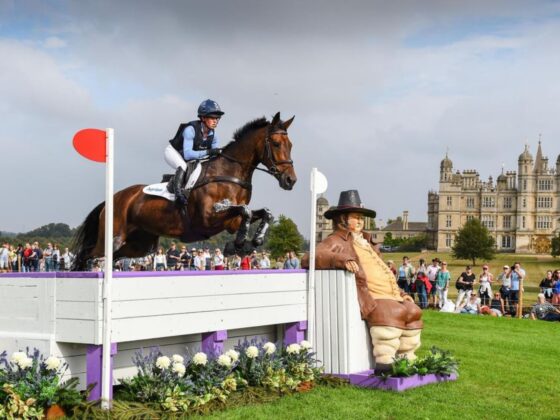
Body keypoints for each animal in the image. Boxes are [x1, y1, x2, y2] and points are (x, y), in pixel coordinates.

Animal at [71, 111, 296, 270]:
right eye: (276, 143)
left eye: (291, 145)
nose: (290, 180)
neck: (230, 172)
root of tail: (113, 198)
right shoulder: (207, 218)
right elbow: (246, 211)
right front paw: (240, 244)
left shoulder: (231, 221)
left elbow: (263, 213)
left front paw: (252, 241)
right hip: (112, 238)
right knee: (86, 254)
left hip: (139, 245)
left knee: (112, 257)